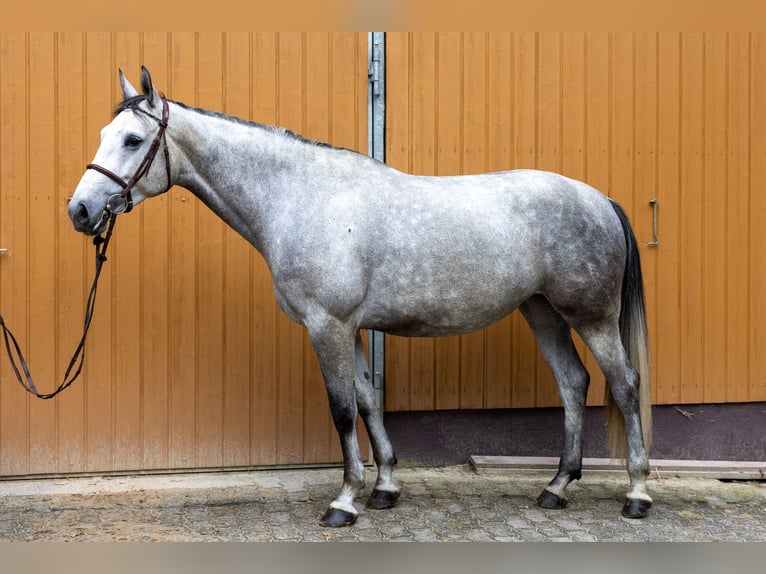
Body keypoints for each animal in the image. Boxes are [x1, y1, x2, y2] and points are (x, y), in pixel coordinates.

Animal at [68, 67, 653, 527]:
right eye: (102, 133)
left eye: (132, 140)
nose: (79, 210)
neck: (301, 197)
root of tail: (600, 199)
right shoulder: (346, 328)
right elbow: (368, 400)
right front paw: (385, 488)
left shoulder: (328, 325)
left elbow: (342, 408)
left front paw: (345, 501)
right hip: (543, 312)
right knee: (573, 384)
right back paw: (556, 487)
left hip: (593, 318)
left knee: (624, 386)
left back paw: (637, 493)